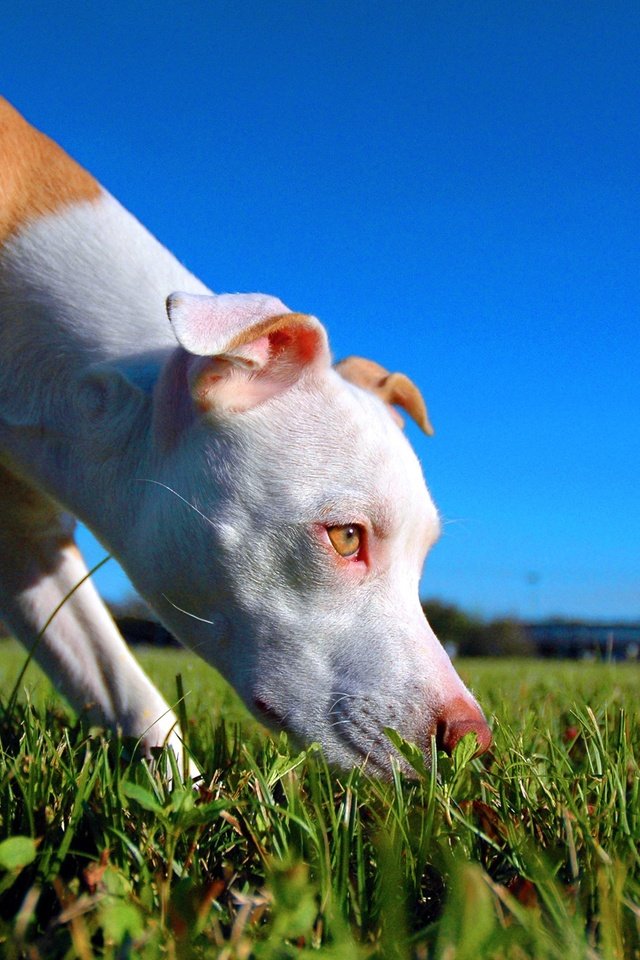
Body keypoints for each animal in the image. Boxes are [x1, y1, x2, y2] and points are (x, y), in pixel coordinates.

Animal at [0, 97, 490, 776]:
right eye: (345, 537)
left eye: (425, 558)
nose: (473, 741)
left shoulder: (26, 543)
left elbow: (126, 691)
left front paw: (180, 791)